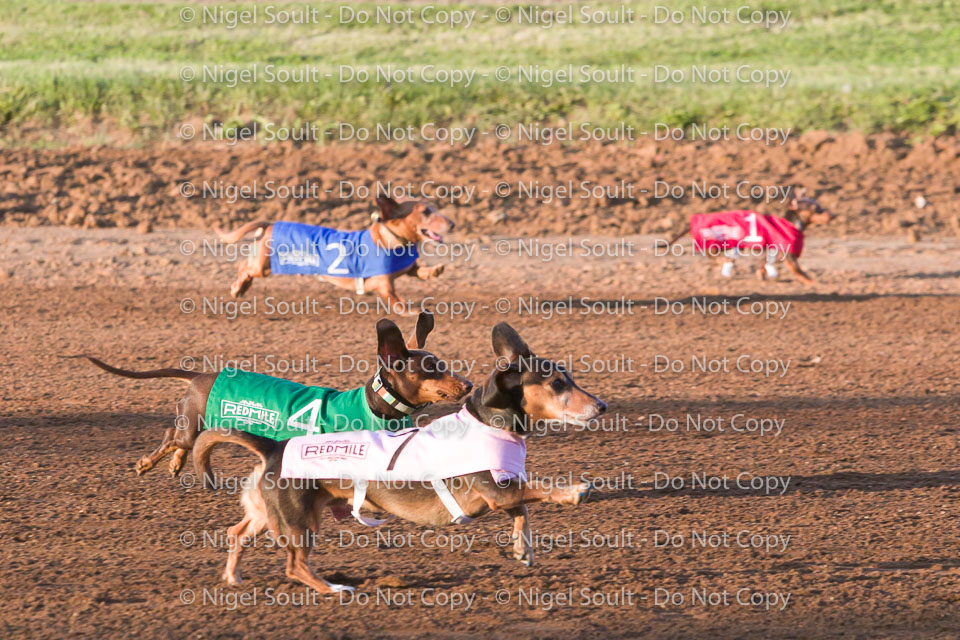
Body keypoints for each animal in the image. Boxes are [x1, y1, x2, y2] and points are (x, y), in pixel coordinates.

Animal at [88, 316, 470, 480]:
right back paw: (147, 463)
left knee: (183, 442)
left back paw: (176, 464)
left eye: (443, 364)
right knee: (172, 435)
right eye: (431, 369)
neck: (375, 406)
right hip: (191, 421)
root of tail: (198, 377)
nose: (467, 385)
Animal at [194, 322, 608, 592]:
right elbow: (538, 490)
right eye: (558, 383)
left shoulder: (504, 491)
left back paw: (233, 576)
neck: (489, 422)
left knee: (236, 533)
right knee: (295, 566)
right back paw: (333, 589)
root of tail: (273, 448)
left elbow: (522, 511)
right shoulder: (497, 489)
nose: (602, 406)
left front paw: (523, 549)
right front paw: (573, 491)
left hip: (268, 514)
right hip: (299, 520)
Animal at [214, 196, 454, 314]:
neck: (389, 239)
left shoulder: (407, 268)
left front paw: (434, 270)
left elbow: (418, 270)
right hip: (264, 266)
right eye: (425, 212)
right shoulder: (384, 284)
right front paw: (410, 311)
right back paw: (237, 287)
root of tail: (271, 224)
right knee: (244, 268)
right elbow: (395, 299)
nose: (452, 223)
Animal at [668, 186, 832, 284]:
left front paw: (762, 275)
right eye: (815, 209)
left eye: (819, 205)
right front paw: (813, 283)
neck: (791, 223)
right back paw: (724, 262)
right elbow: (799, 271)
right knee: (712, 254)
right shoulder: (789, 257)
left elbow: (763, 265)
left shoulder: (770, 253)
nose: (832, 214)